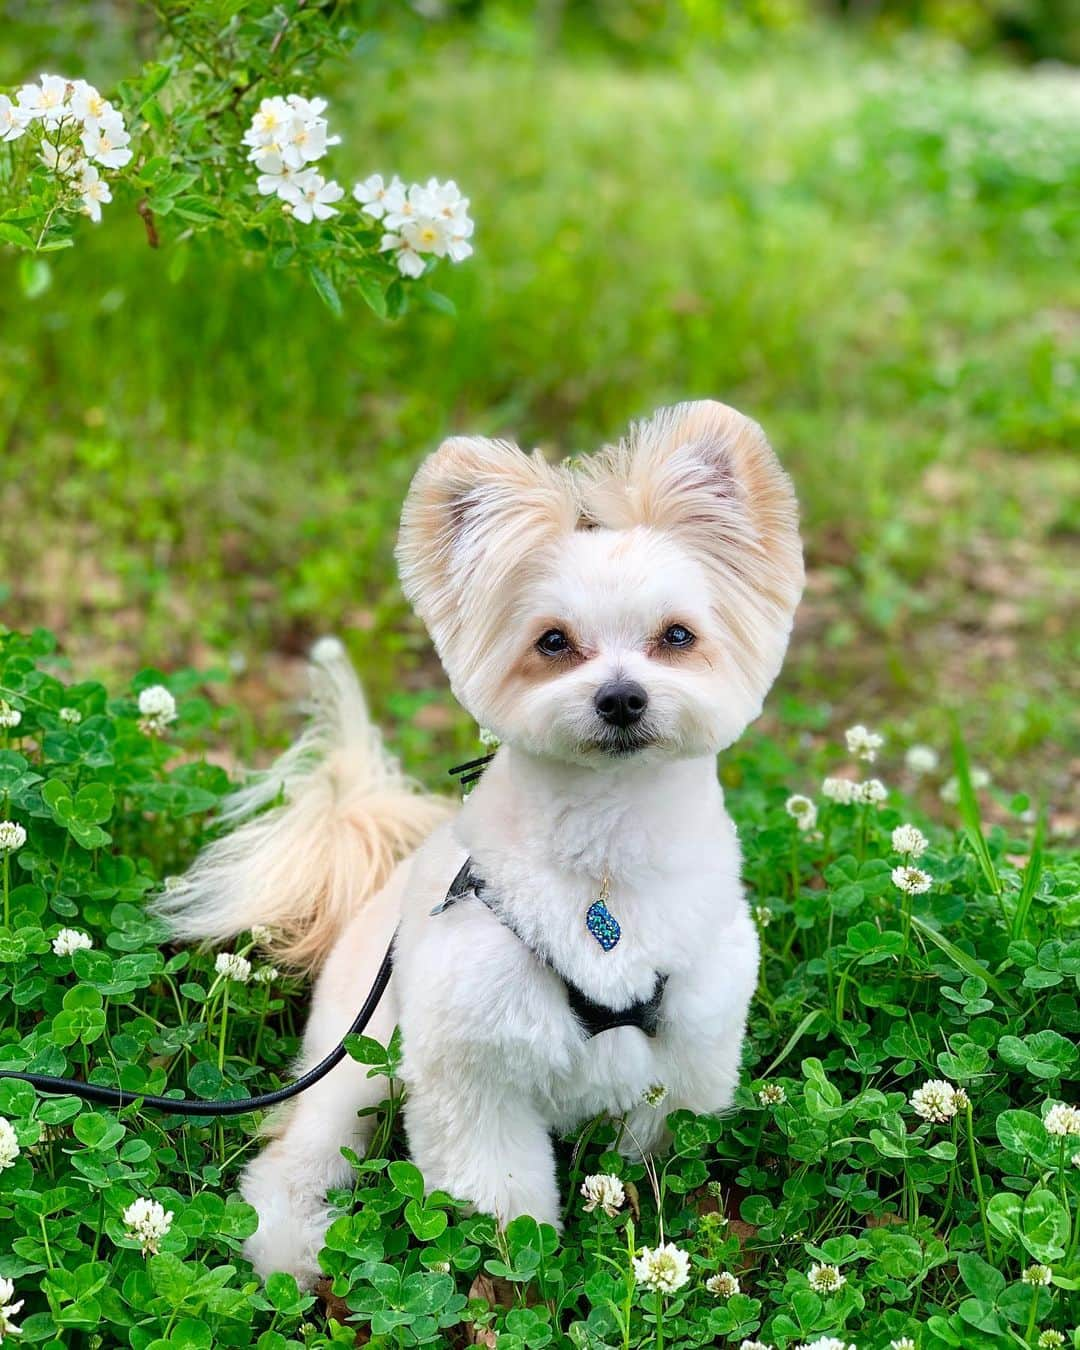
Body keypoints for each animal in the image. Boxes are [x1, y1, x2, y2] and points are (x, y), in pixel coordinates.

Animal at [157, 394, 799, 1279]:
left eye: (677, 635)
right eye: (553, 641)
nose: (621, 699)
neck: (605, 859)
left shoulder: (688, 1059)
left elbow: (662, 1160)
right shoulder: (474, 1068)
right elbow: (501, 1205)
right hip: (355, 1064)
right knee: (296, 1154)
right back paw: (292, 1248)